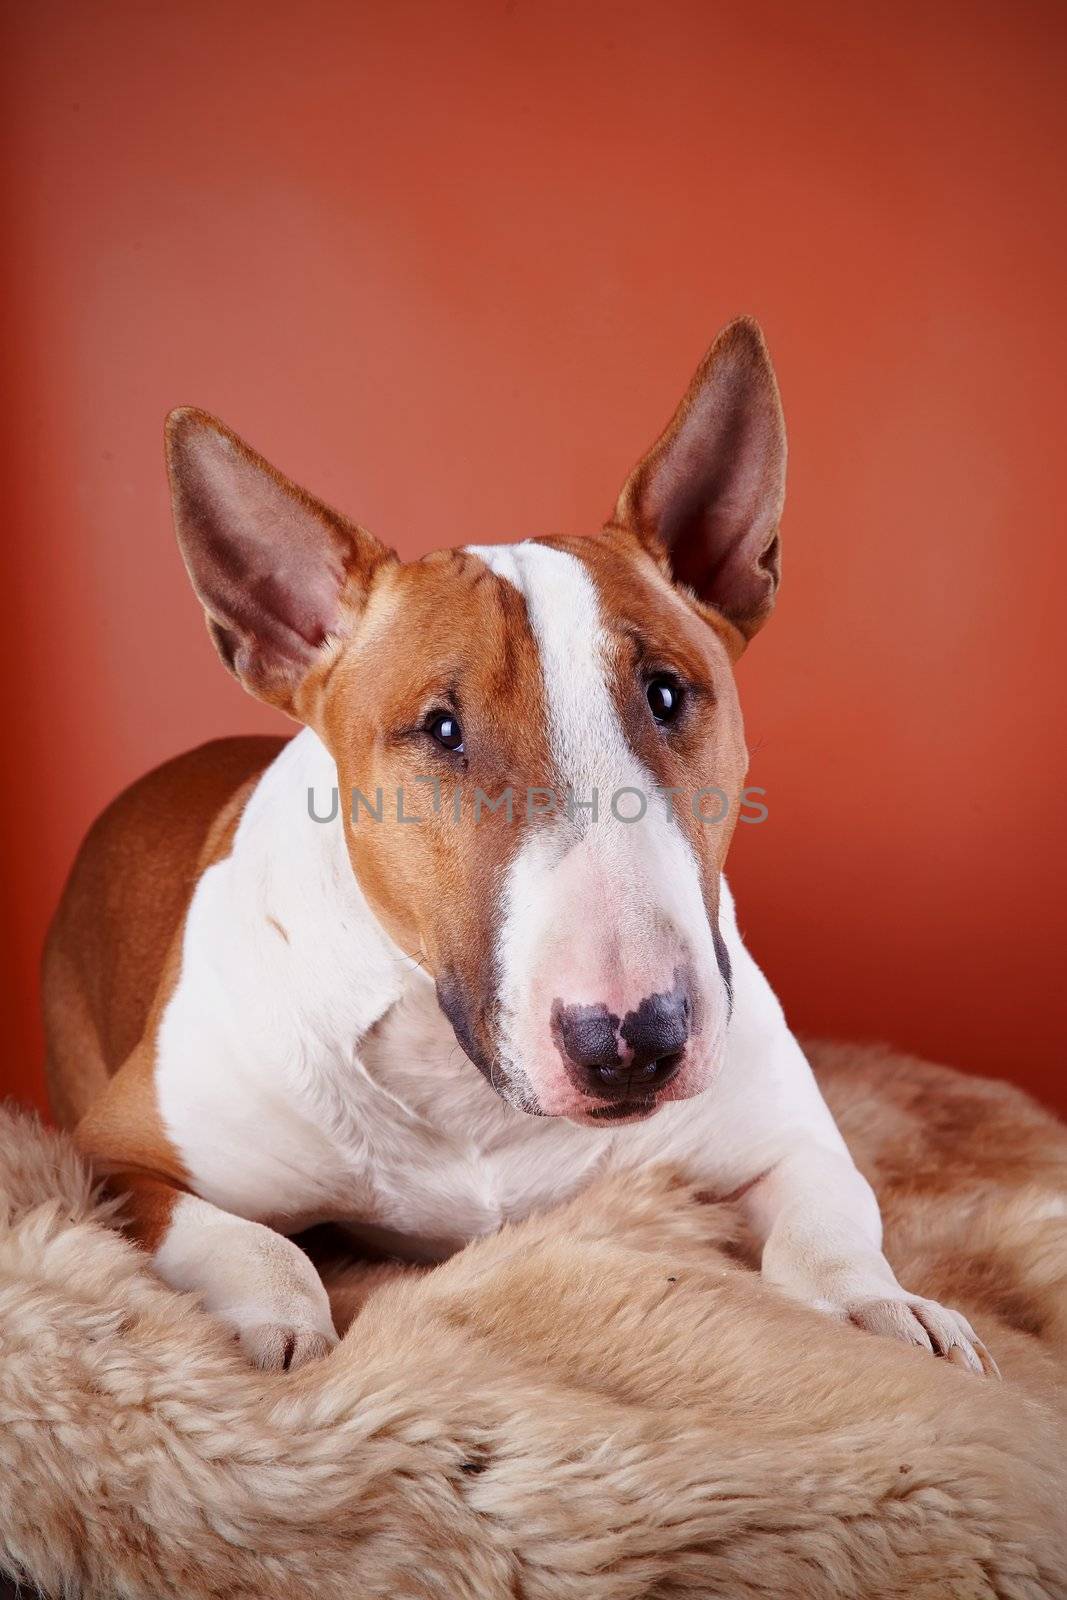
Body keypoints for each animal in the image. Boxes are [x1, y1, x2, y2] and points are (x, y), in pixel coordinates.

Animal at [41, 321, 998, 1376]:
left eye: (666, 692)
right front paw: (275, 1330)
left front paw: (879, 1308)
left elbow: (830, 1223)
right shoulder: (111, 1157)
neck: (469, 1090)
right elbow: (249, 1241)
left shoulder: (790, 1137)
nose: (633, 1044)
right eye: (440, 729)